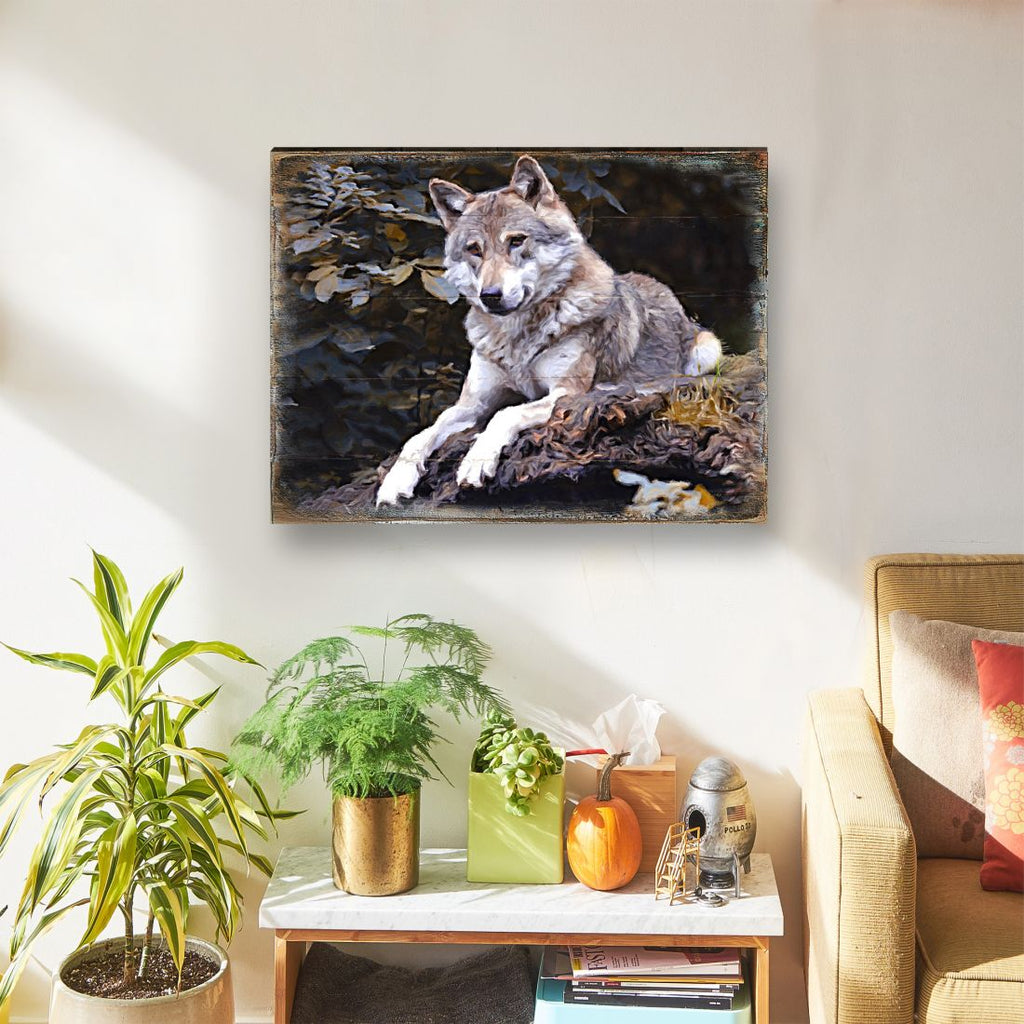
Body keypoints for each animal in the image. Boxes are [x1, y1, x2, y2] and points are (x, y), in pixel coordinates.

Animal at [376, 155, 722, 506]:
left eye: (516, 241)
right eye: (475, 249)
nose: (491, 295)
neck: (517, 337)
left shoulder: (565, 392)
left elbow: (506, 413)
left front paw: (476, 462)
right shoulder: (471, 405)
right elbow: (420, 436)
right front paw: (393, 483)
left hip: (708, 349)